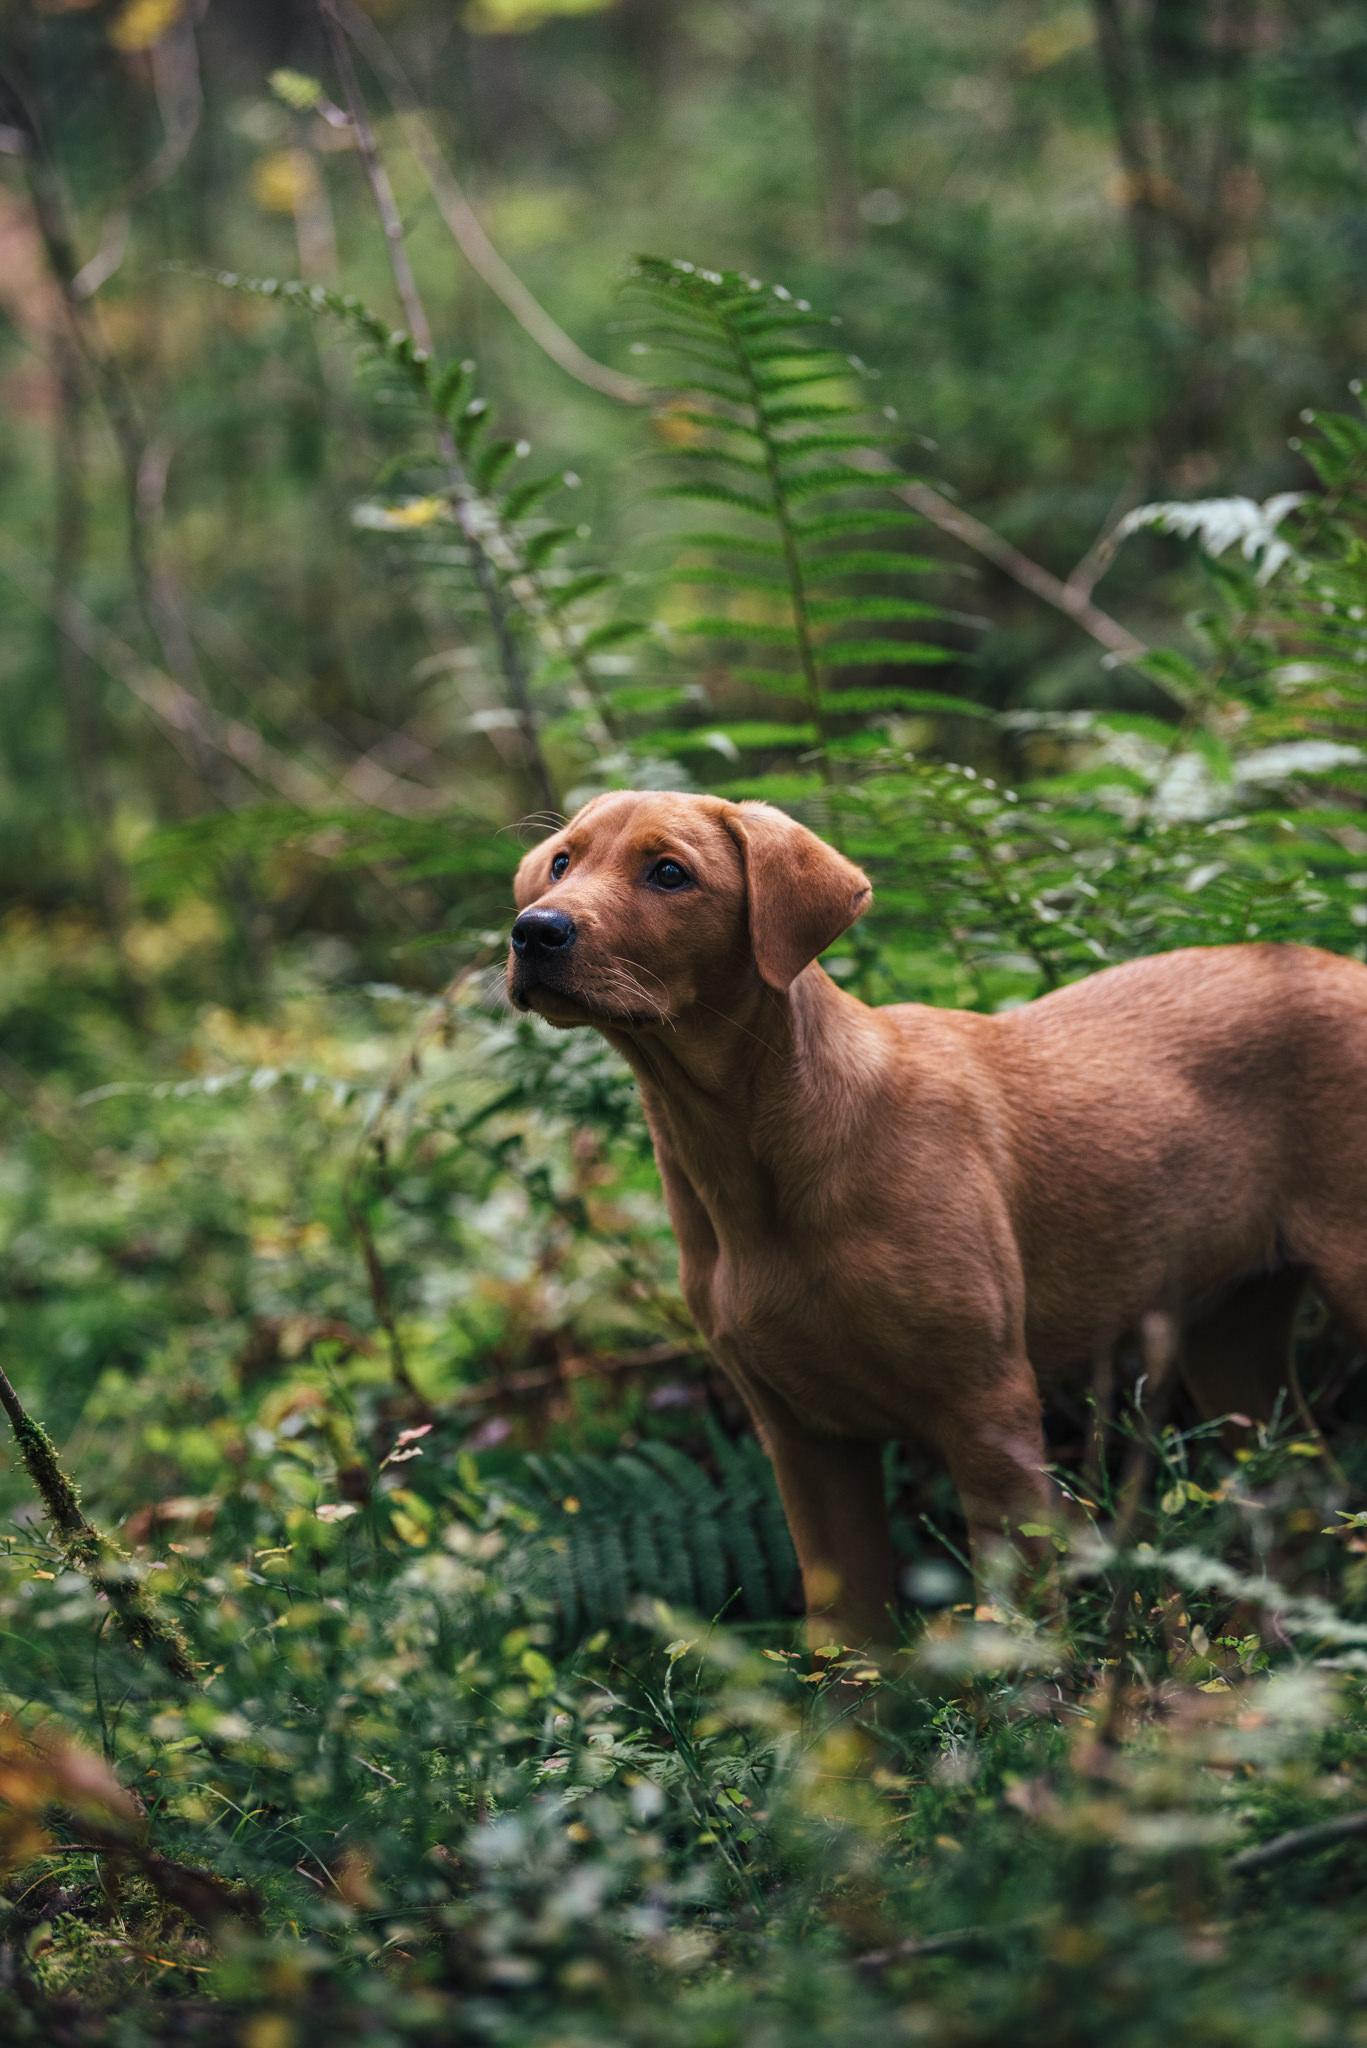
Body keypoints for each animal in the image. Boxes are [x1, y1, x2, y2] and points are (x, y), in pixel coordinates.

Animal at [506, 786, 1367, 1646]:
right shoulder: (803, 1436)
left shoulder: (988, 1404)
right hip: (1232, 1332)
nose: (533, 930)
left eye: (669, 873)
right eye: (561, 863)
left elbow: (1021, 1617)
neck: (749, 1157)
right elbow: (844, 1635)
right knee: (1301, 1493)